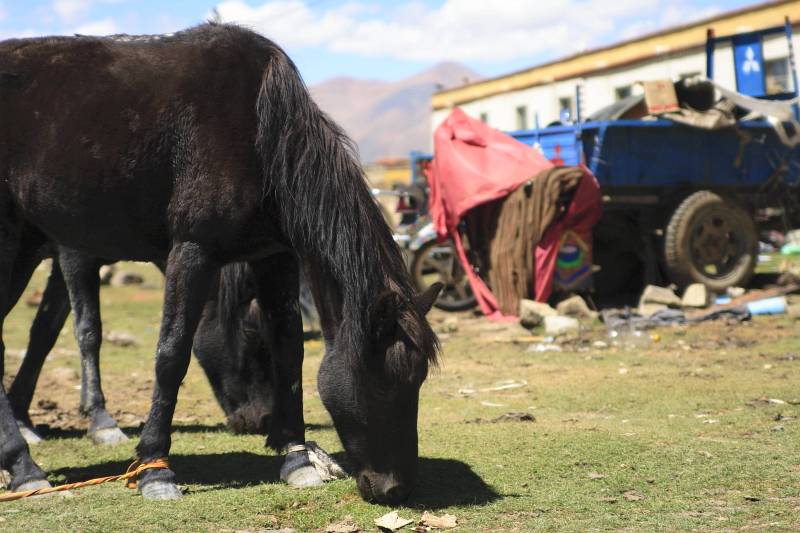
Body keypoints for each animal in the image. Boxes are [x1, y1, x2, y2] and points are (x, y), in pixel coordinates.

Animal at [0, 21, 438, 502]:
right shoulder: (188, 251)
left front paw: (297, 458)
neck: (262, 130)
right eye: (380, 382)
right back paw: (25, 465)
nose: (395, 489)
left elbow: (290, 352)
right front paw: (154, 468)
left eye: (419, 380)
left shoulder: (275, 258)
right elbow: (169, 353)